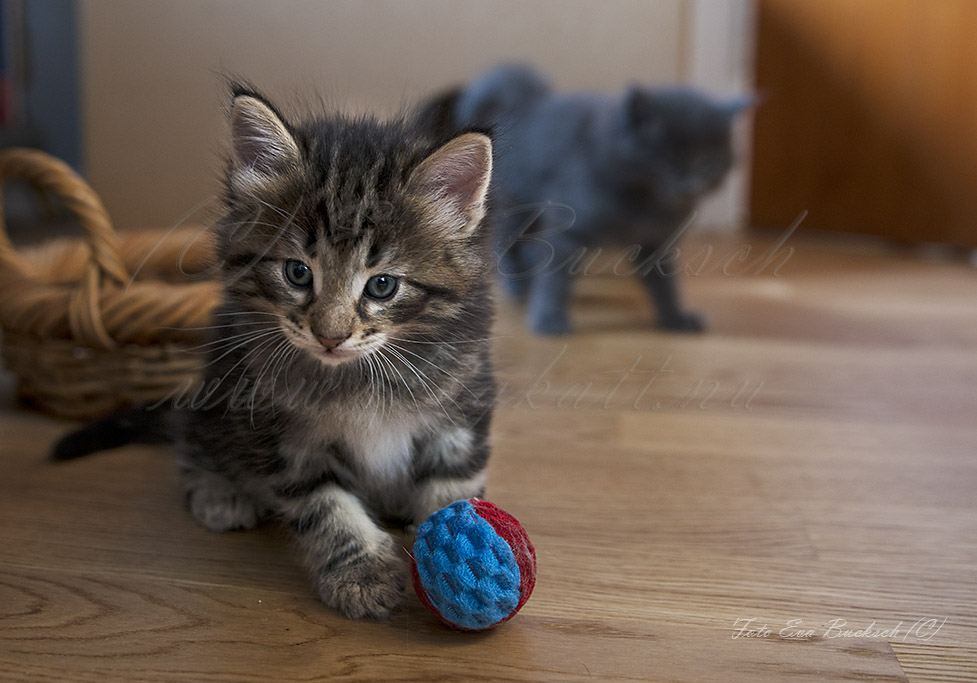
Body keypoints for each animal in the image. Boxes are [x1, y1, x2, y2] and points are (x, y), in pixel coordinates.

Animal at [54, 88, 496, 624]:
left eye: (382, 285)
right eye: (298, 273)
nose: (330, 336)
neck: (355, 377)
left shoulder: (462, 408)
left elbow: (453, 488)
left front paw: (465, 564)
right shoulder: (282, 437)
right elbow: (327, 509)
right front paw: (361, 574)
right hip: (216, 393)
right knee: (191, 443)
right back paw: (219, 493)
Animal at [424, 62, 752, 336]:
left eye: (708, 162)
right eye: (667, 158)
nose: (688, 184)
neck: (645, 201)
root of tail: (527, 104)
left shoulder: (658, 241)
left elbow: (664, 282)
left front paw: (674, 317)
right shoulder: (569, 230)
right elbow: (555, 276)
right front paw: (549, 318)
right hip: (518, 206)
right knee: (506, 245)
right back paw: (517, 286)